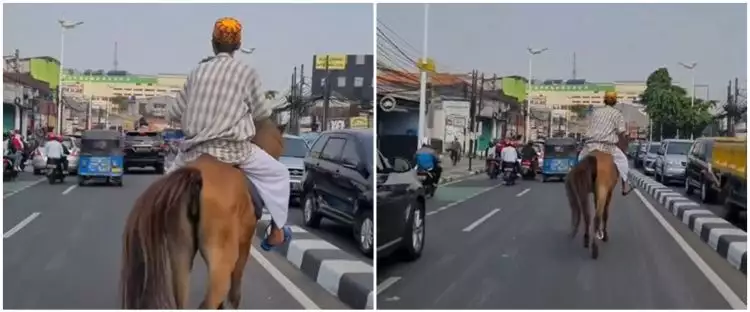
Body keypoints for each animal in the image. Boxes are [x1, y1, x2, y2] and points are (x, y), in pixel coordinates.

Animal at [122, 118, 286, 308]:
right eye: (282, 142)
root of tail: (196, 175)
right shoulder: (244, 243)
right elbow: (235, 292)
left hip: (180, 253)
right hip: (222, 258)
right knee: (210, 300)